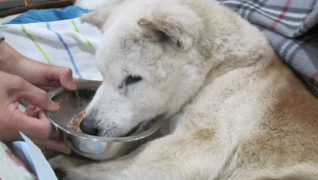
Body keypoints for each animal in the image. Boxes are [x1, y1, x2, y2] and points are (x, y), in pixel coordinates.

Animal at [50, 0, 318, 178]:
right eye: (102, 75)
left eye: (133, 79)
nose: (87, 127)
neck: (220, 71)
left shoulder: (196, 148)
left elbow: (110, 166)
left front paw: (65, 164)